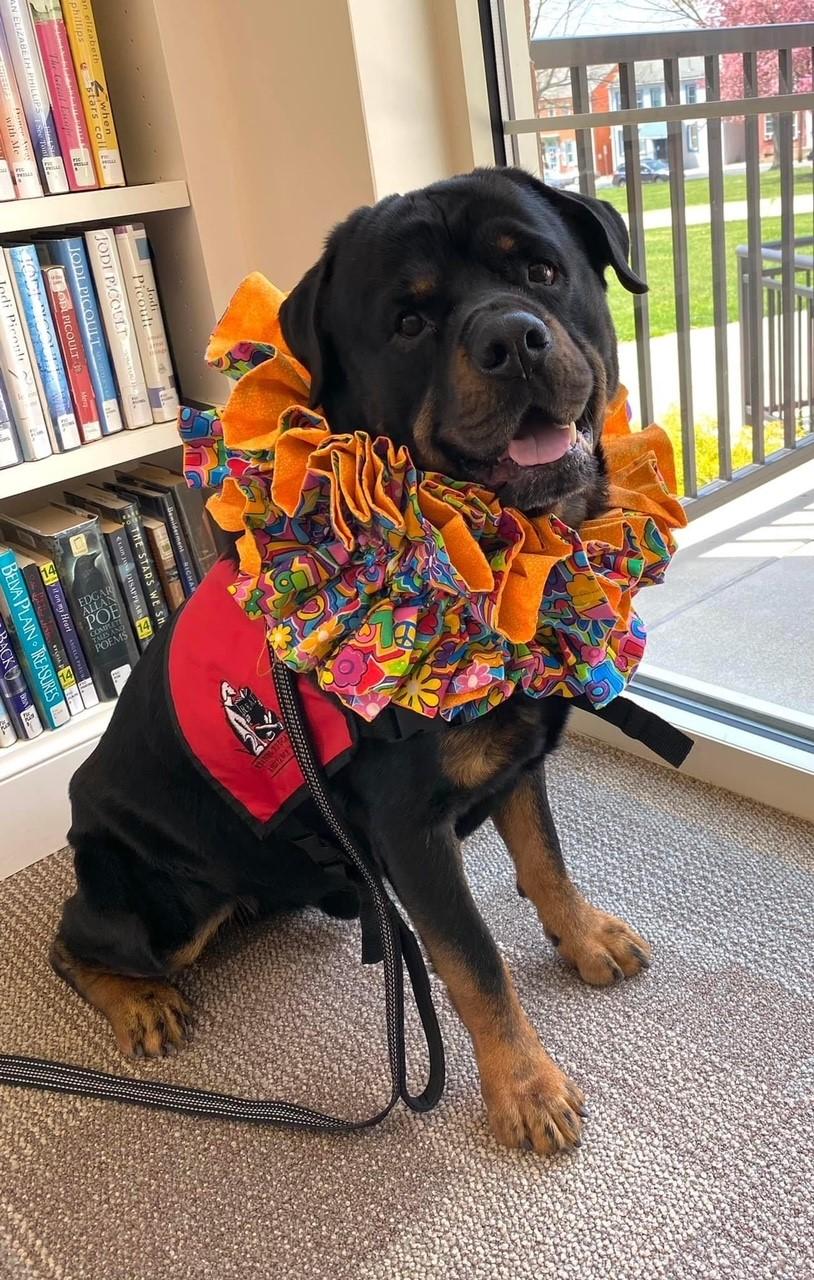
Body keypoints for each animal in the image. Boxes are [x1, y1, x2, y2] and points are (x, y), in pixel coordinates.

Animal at [52, 165, 647, 1157]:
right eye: (408, 322)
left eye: (541, 271)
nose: (512, 339)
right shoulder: (409, 829)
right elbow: (474, 961)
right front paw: (526, 1090)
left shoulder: (516, 754)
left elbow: (545, 858)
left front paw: (584, 935)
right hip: (158, 894)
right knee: (78, 942)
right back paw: (140, 1003)